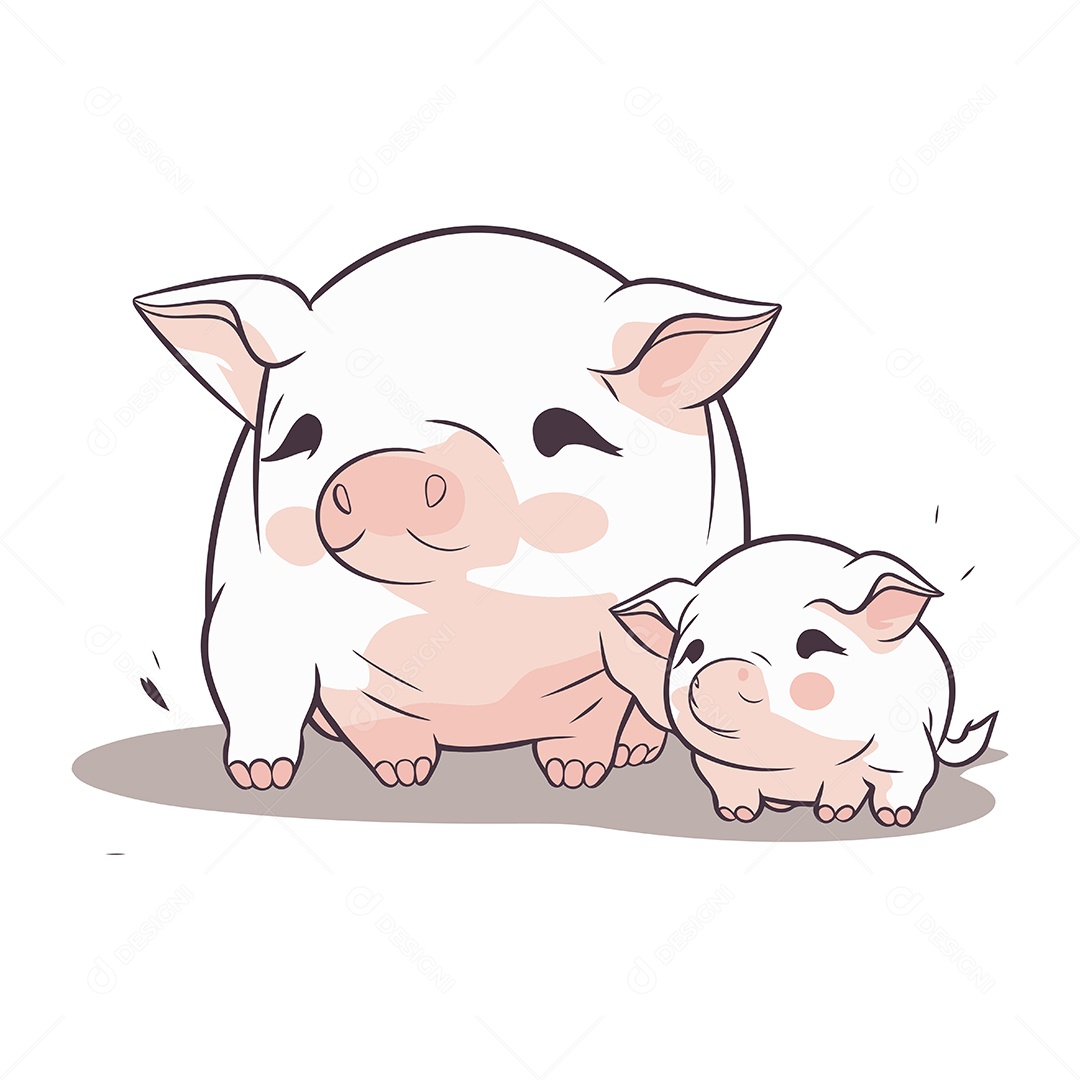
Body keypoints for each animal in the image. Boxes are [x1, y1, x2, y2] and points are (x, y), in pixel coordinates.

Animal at [134, 226, 780, 791]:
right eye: (302, 435)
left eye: (561, 430)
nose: (388, 469)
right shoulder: (255, 597)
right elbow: (266, 678)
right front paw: (315, 776)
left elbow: (605, 704)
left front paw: (575, 774)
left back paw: (634, 754)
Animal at [606, 535, 997, 826]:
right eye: (693, 651)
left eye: (812, 643)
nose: (725, 669)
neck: (794, 766)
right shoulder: (715, 765)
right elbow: (730, 785)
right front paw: (737, 816)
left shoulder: (903, 742)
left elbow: (902, 777)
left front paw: (888, 819)